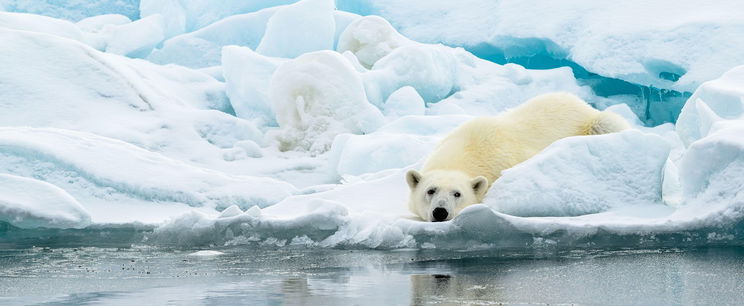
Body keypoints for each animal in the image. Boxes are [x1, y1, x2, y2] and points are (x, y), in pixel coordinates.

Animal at [406, 92, 628, 221]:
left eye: (457, 194)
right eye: (431, 190)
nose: (440, 212)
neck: (468, 149)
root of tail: (580, 101)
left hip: (594, 122)